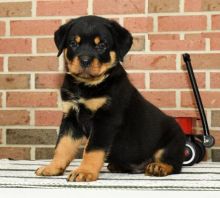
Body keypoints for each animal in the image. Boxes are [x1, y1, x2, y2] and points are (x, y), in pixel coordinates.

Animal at [34, 15, 186, 182]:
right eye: (74, 43)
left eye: (102, 45)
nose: (85, 60)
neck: (86, 86)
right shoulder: (71, 118)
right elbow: (62, 146)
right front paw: (52, 168)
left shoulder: (106, 120)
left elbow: (92, 149)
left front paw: (85, 171)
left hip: (172, 143)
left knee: (174, 165)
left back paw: (158, 167)